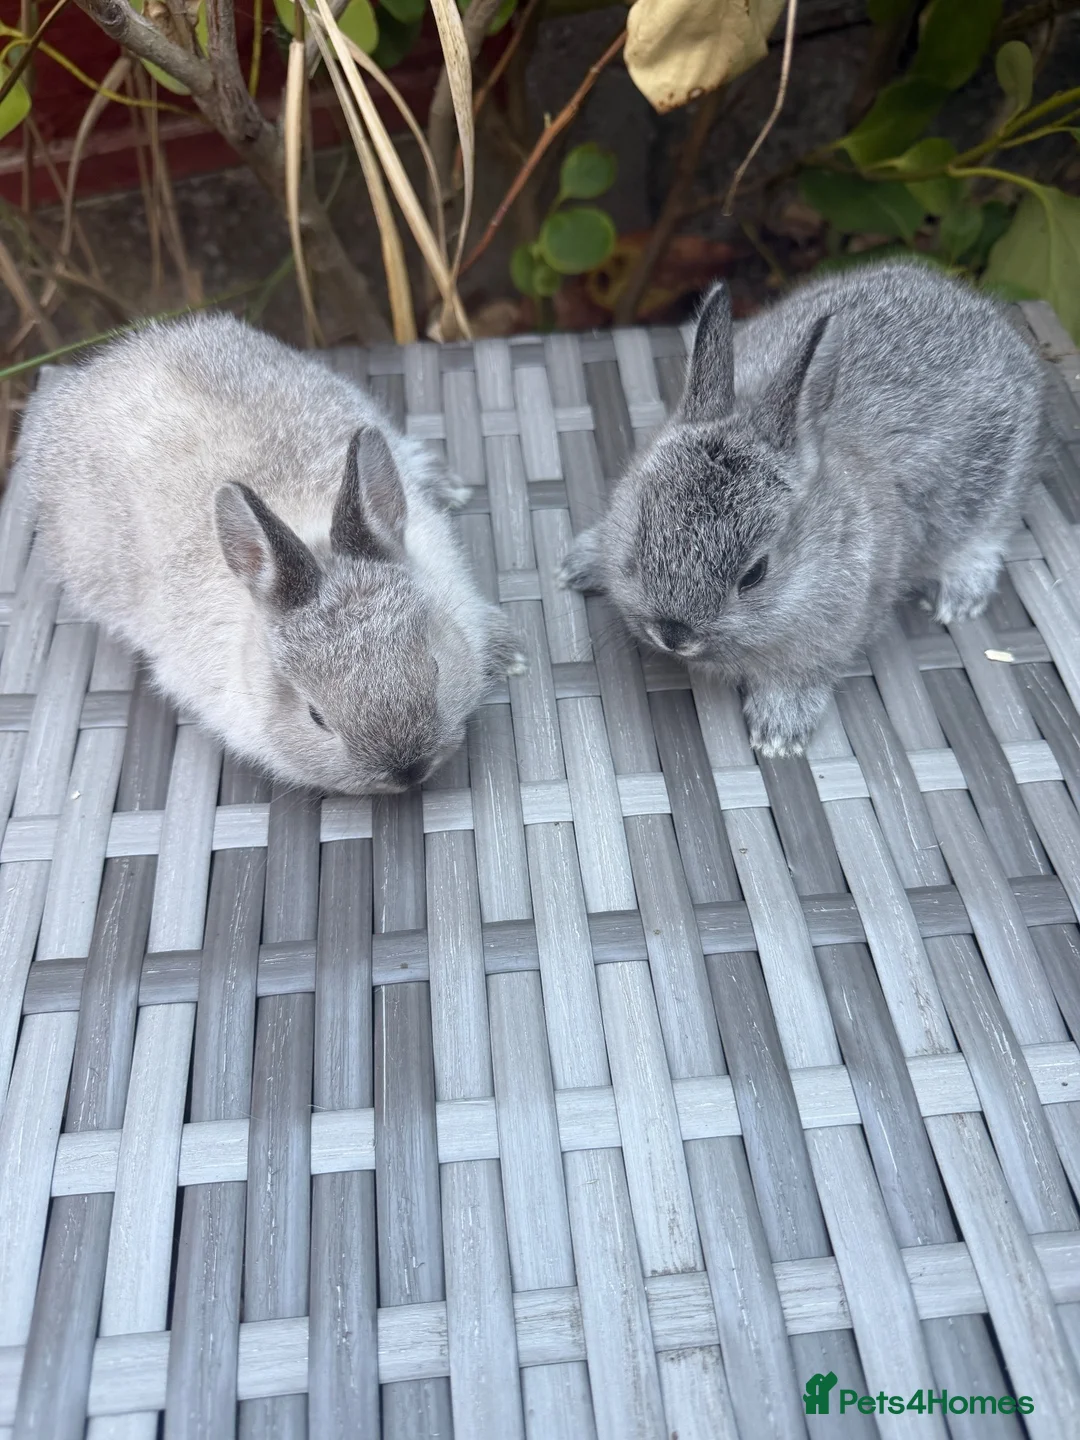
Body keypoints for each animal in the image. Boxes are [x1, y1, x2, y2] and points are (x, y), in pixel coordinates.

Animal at [16, 312, 524, 794]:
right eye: (315, 716)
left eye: (435, 669)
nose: (407, 770)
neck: (310, 531)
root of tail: (99, 370)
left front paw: (509, 657)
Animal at [559, 259, 1046, 756]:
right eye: (638, 541)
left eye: (755, 574)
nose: (675, 634)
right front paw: (579, 563)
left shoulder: (834, 631)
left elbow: (801, 674)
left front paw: (779, 731)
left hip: (994, 486)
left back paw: (959, 599)